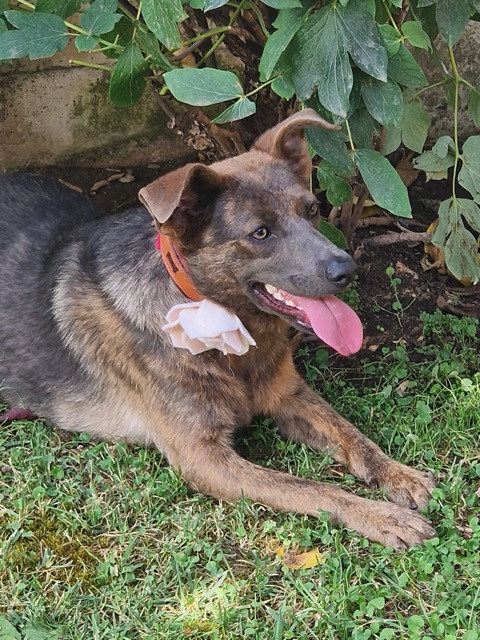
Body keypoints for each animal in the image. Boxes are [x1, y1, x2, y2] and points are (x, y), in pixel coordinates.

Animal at [0, 109, 435, 547]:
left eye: (312, 210)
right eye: (260, 233)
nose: (347, 268)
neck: (221, 322)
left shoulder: (289, 395)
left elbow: (353, 436)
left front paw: (399, 475)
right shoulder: (205, 458)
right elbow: (314, 489)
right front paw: (383, 516)